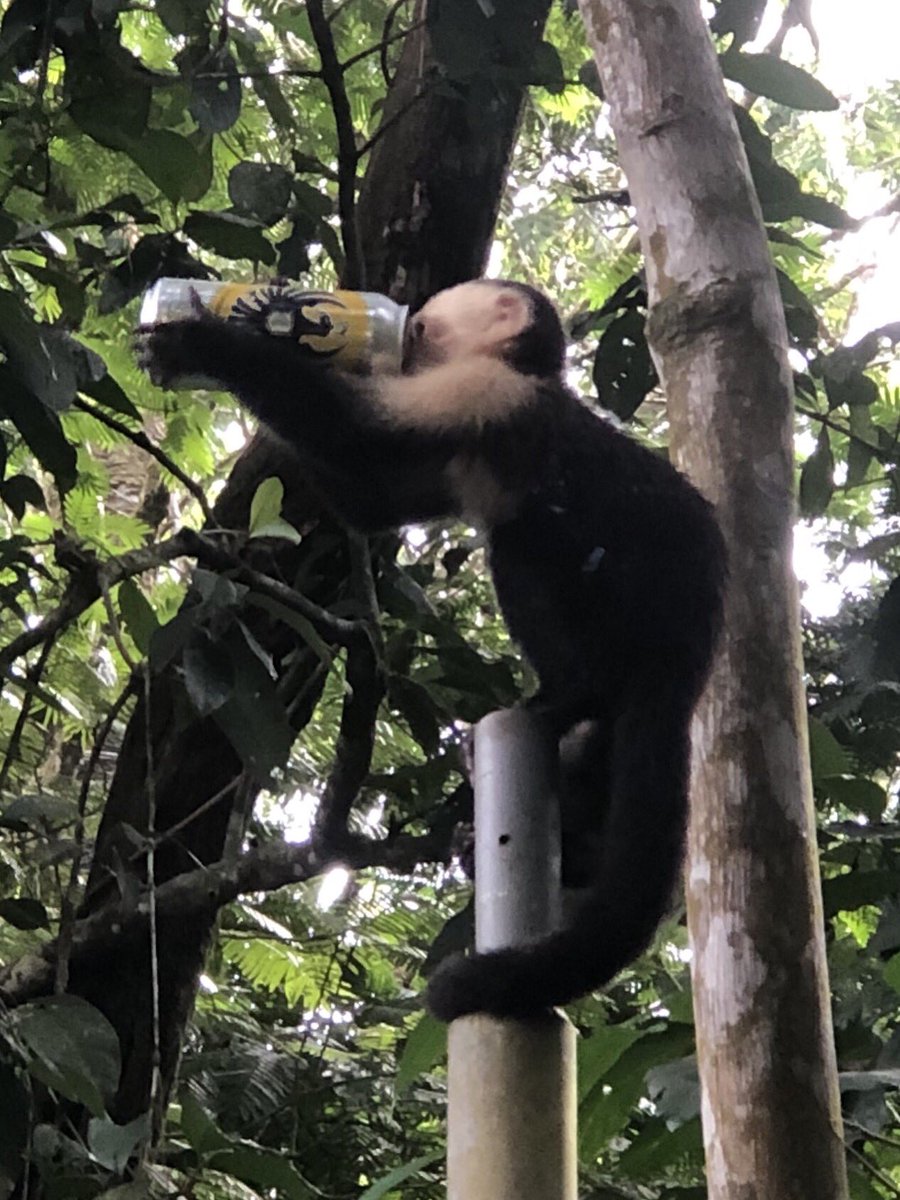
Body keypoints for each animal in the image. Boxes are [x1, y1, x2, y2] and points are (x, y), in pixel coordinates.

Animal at [139, 278, 727, 1021]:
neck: (525, 371)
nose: (407, 326)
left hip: (627, 607)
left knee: (520, 543)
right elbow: (371, 500)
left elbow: (360, 434)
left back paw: (568, 692)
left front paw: (206, 340)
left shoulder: (486, 389)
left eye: (423, 326)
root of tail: (693, 642)